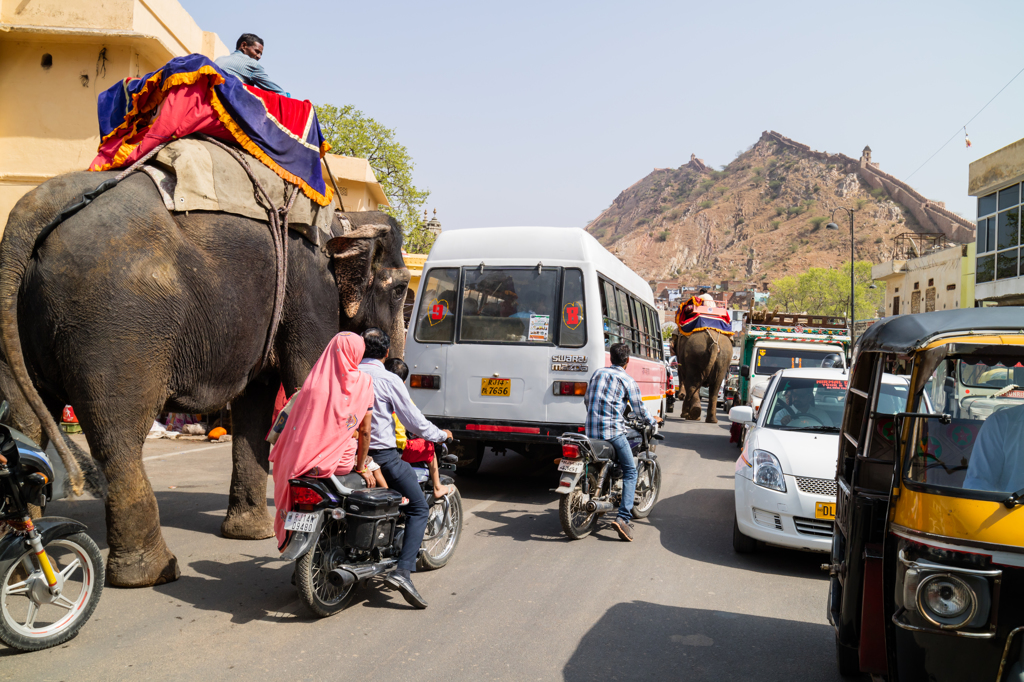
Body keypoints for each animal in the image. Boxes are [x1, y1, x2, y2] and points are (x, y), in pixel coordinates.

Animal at [0, 169, 407, 585]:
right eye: (401, 289)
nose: (397, 366)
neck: (346, 221)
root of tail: (29, 214)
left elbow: (256, 404)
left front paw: (250, 534)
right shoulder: (312, 293)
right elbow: (304, 384)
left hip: (19, 320)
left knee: (26, 425)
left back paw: (23, 566)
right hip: (114, 324)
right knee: (118, 433)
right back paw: (153, 573)